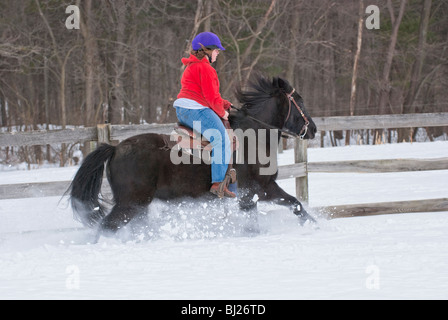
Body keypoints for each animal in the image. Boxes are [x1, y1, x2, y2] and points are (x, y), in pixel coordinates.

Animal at [68, 75, 316, 238]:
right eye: (301, 101)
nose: (313, 128)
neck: (253, 137)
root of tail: (115, 149)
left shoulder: (252, 196)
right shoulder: (259, 190)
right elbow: (295, 205)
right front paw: (315, 224)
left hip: (138, 206)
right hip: (130, 203)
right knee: (107, 228)